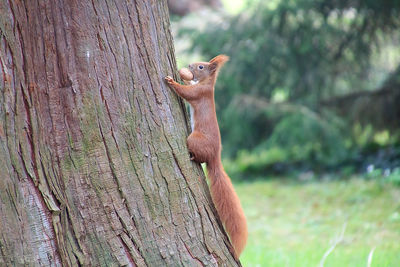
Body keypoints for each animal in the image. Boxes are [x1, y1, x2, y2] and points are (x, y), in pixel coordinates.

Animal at [163, 56, 247, 260]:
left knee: (199, 157)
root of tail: (215, 156)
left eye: (201, 66)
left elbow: (186, 93)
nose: (190, 65)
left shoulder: (200, 93)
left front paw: (172, 82)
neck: (207, 83)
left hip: (193, 139)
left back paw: (193, 157)